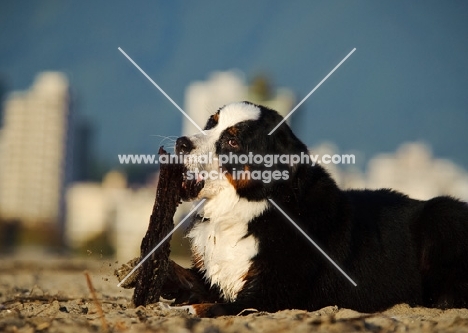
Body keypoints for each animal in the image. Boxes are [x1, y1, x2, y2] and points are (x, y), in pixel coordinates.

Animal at [160, 100, 464, 316]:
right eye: (210, 125)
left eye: (233, 141)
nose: (181, 143)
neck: (250, 208)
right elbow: (184, 275)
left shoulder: (274, 293)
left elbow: (213, 308)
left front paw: (183, 308)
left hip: (442, 213)